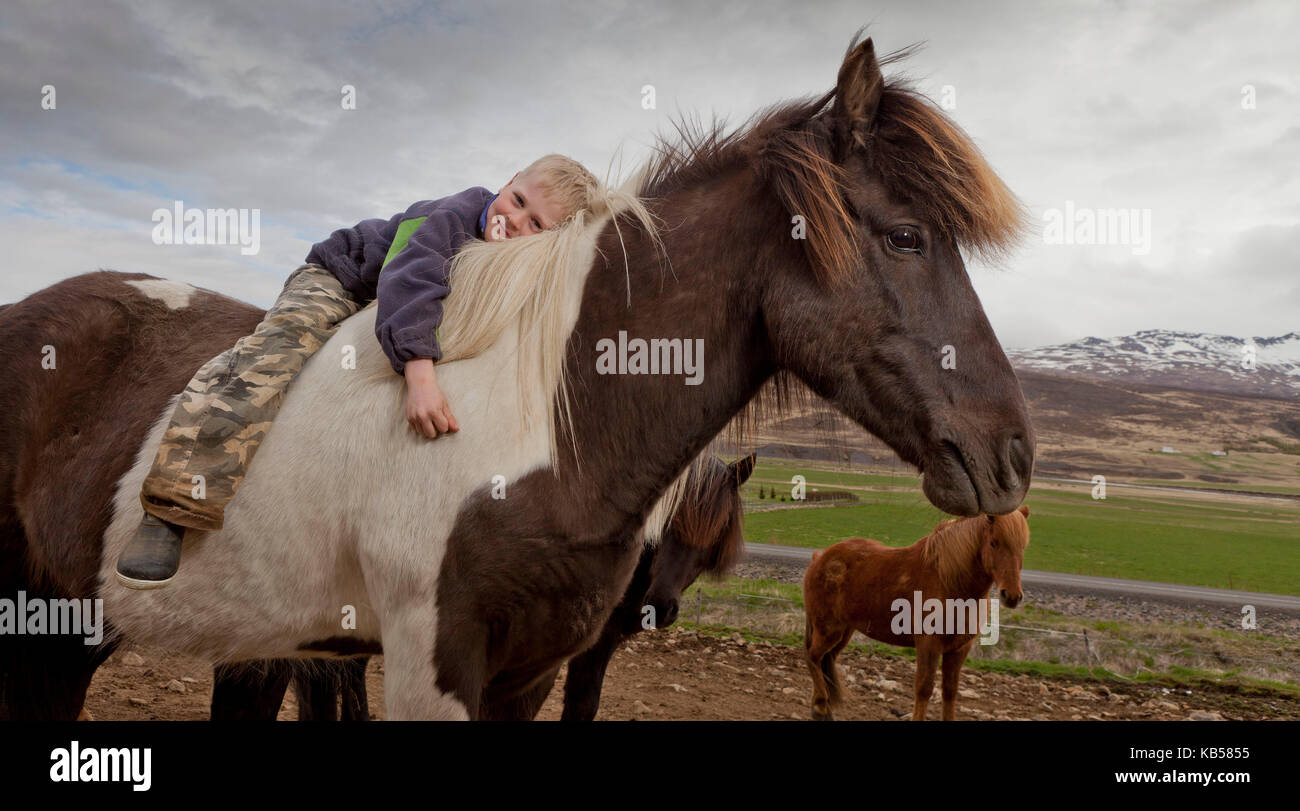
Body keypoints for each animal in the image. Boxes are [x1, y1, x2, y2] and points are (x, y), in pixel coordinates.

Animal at [800, 506, 1024, 722]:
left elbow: (950, 692)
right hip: (828, 630)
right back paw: (820, 709)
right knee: (813, 657)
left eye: (1022, 547)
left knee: (825, 660)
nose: (1011, 596)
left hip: (844, 633)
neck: (948, 581)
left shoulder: (959, 649)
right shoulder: (928, 645)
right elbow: (924, 689)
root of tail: (820, 559)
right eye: (994, 543)